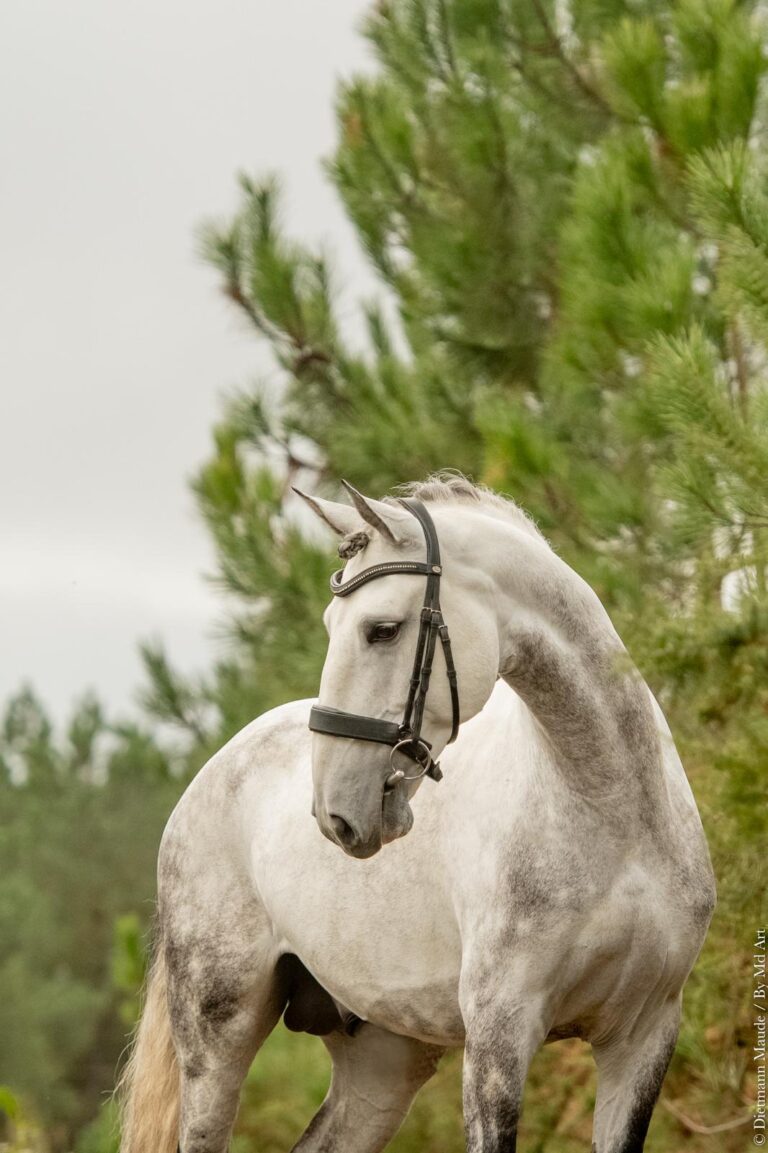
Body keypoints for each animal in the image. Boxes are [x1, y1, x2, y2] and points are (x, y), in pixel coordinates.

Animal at [119, 474, 715, 1153]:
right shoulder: (499, 1039)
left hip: (384, 1057)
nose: (334, 814)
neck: (613, 817)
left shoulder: (642, 1038)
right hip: (217, 1039)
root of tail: (209, 775)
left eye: (382, 629)